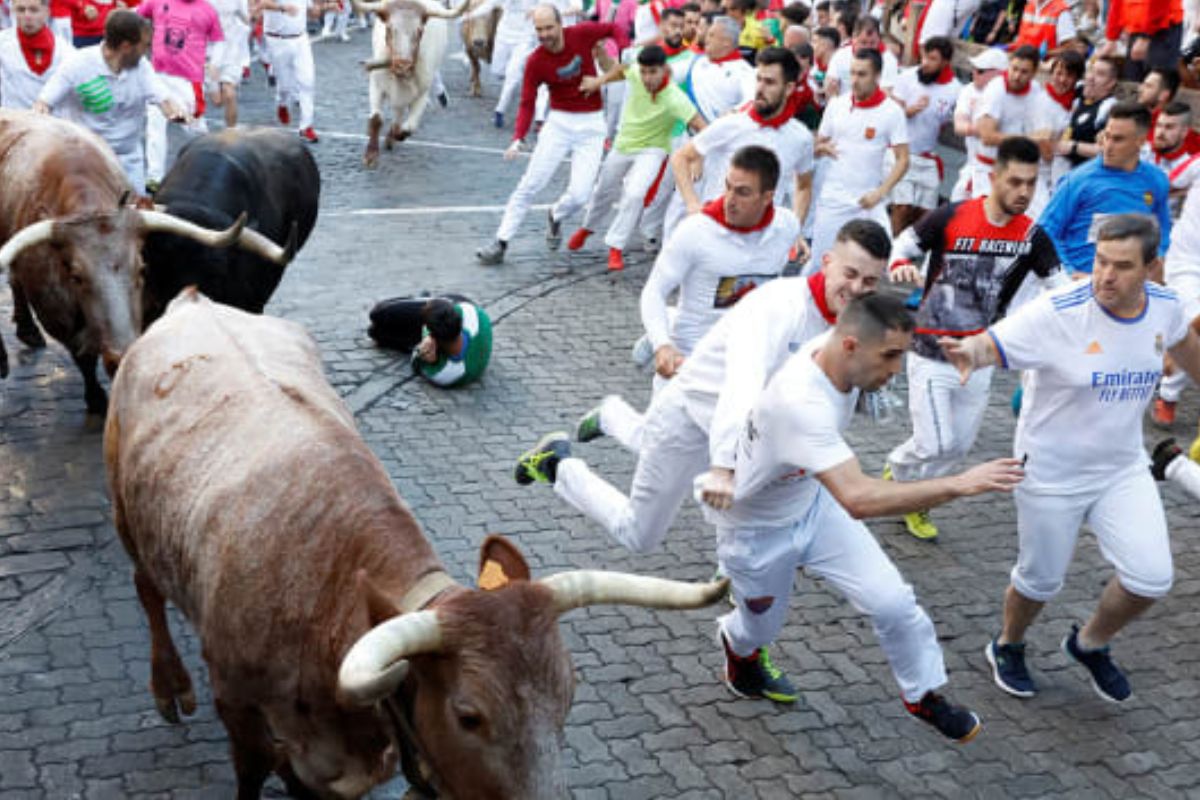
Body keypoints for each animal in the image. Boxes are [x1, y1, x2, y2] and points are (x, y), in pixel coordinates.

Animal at [0, 110, 288, 412]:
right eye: (76, 276)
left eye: (141, 269)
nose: (120, 356)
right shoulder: (55, 312)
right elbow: (83, 359)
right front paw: (97, 400)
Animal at [103, 289, 720, 800]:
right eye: (469, 716)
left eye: (568, 694)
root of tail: (192, 301)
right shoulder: (237, 707)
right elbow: (253, 772)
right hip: (126, 515)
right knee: (145, 589)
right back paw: (169, 686)